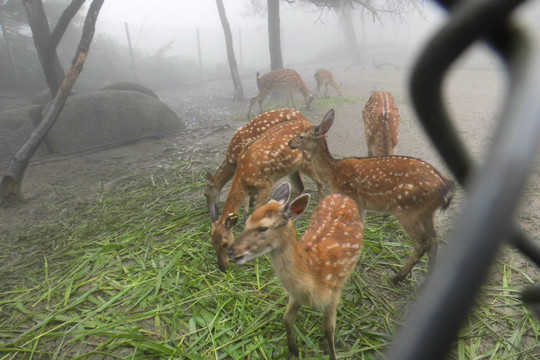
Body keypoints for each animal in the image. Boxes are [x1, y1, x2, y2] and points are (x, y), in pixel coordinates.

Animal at [209, 119, 322, 272]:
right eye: (212, 243)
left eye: (225, 244)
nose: (222, 267)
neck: (244, 175)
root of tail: (306, 121)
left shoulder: (266, 184)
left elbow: (256, 212)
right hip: (292, 168)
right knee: (300, 188)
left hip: (307, 161)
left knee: (319, 182)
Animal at [230, 183, 364, 360]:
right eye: (247, 221)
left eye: (263, 228)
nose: (231, 251)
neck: (314, 274)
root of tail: (341, 196)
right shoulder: (296, 295)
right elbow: (287, 317)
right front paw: (293, 349)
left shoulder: (333, 294)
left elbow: (328, 329)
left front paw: (332, 355)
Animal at [286, 108, 456, 282]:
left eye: (301, 135)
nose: (289, 143)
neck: (333, 172)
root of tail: (446, 186)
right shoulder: (362, 204)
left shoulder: (353, 197)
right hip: (426, 212)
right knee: (434, 241)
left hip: (407, 208)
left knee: (422, 243)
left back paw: (397, 277)